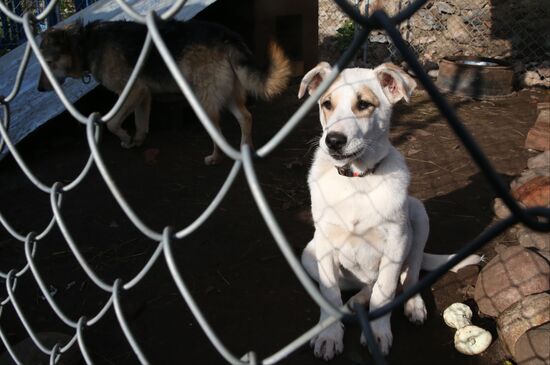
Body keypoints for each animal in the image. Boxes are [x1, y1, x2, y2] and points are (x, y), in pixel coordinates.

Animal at [37, 18, 294, 164]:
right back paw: (246, 149)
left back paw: (216, 157)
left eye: (47, 64)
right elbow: (141, 123)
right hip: (229, 94)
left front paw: (126, 137)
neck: (86, 42)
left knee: (219, 130)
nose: (39, 89)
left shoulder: (132, 90)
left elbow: (112, 123)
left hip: (202, 100)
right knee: (246, 117)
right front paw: (136, 141)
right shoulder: (143, 94)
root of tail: (226, 35)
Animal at [300, 62, 480, 358]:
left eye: (363, 104)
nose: (333, 140)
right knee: (367, 286)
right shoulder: (324, 241)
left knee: (408, 276)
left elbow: (385, 291)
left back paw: (412, 305)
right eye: (327, 104)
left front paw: (377, 332)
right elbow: (329, 293)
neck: (357, 179)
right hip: (309, 256)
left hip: (418, 217)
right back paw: (355, 301)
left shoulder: (397, 240)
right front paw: (329, 334)